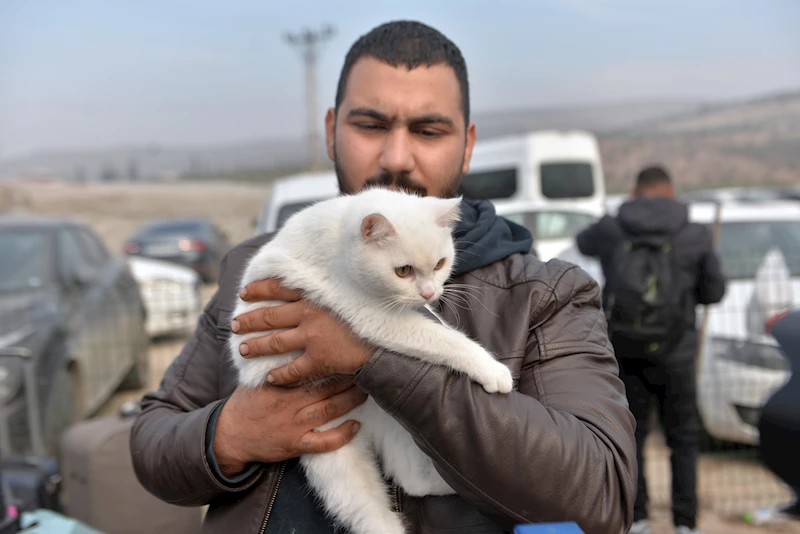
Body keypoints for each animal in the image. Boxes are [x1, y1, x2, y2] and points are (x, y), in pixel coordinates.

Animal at [227, 188, 512, 534]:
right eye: (403, 271)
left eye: (441, 264)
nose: (430, 293)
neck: (339, 235)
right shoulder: (373, 316)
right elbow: (442, 338)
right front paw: (492, 369)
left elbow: (436, 323)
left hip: (397, 426)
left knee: (410, 477)